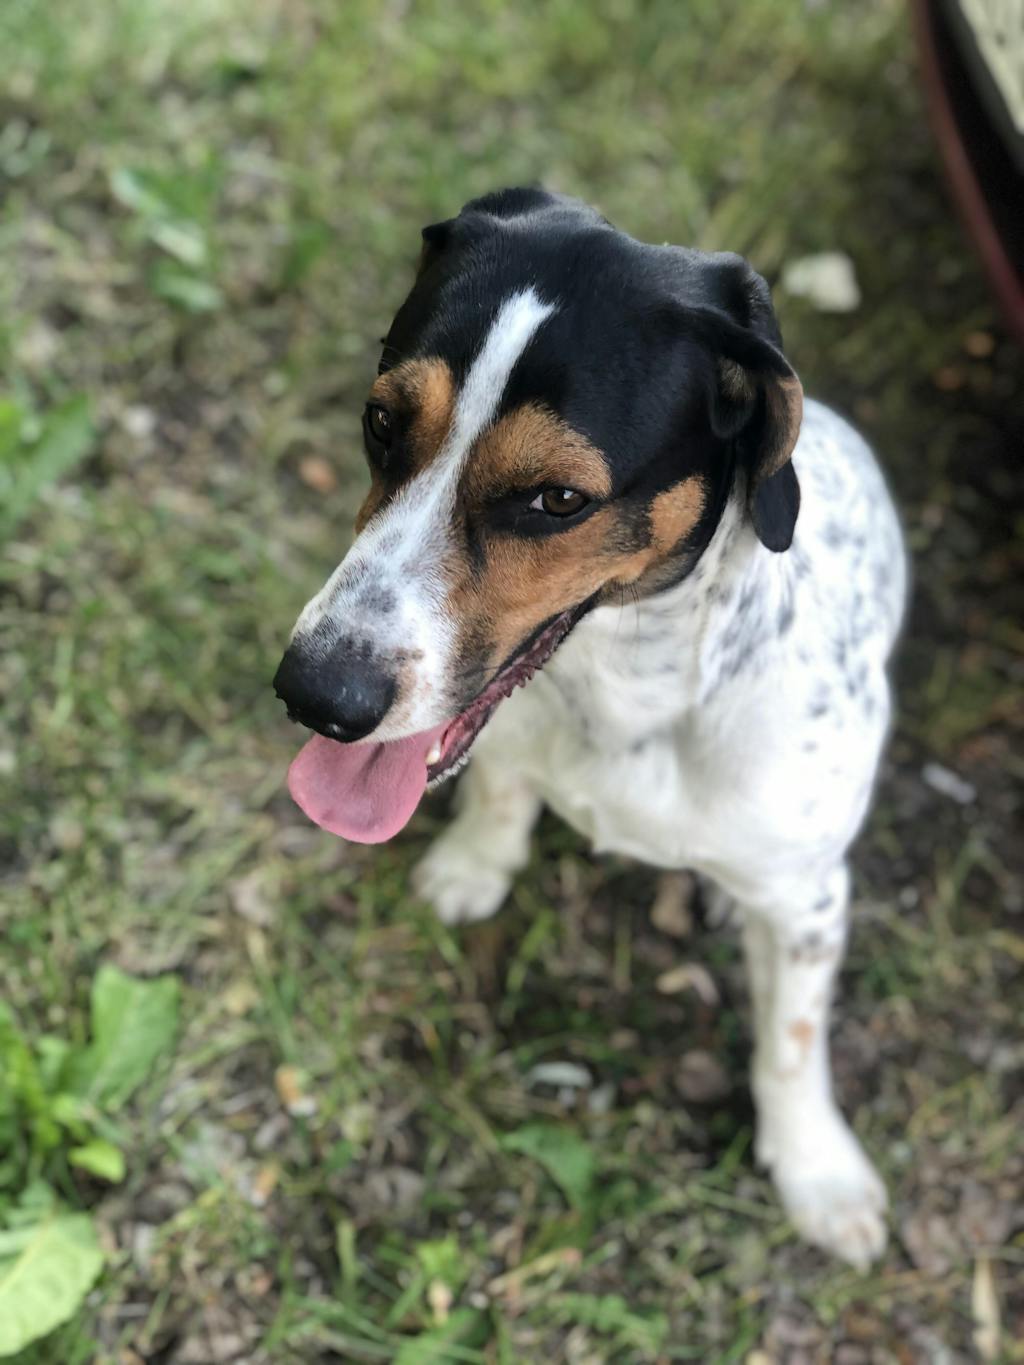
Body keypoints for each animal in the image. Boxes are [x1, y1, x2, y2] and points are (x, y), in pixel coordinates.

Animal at [273, 188, 907, 1268]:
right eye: (380, 421)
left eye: (556, 499)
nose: (314, 693)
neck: (629, 701)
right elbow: (498, 794)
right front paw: (474, 865)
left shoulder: (812, 904)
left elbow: (792, 1042)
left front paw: (815, 1170)